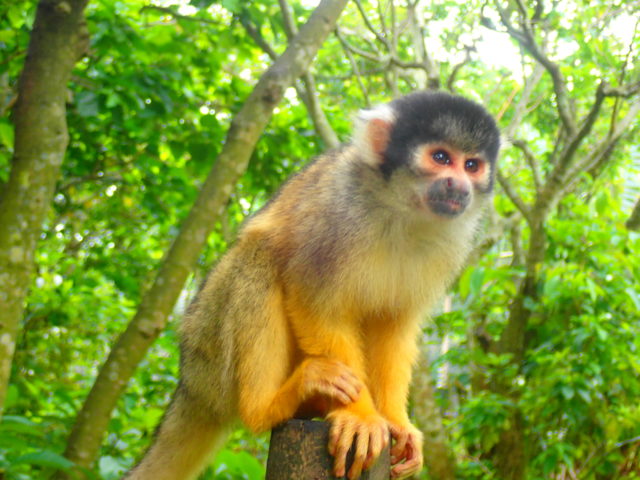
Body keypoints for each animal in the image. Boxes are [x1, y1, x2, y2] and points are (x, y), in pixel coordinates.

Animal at [126, 91, 500, 480]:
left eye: (472, 165)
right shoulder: (334, 212)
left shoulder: (451, 245)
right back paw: (267, 406)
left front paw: (396, 422)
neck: (400, 209)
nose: (459, 185)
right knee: (258, 257)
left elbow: (393, 324)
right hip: (210, 350)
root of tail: (189, 380)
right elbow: (315, 300)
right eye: (441, 158)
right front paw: (359, 416)